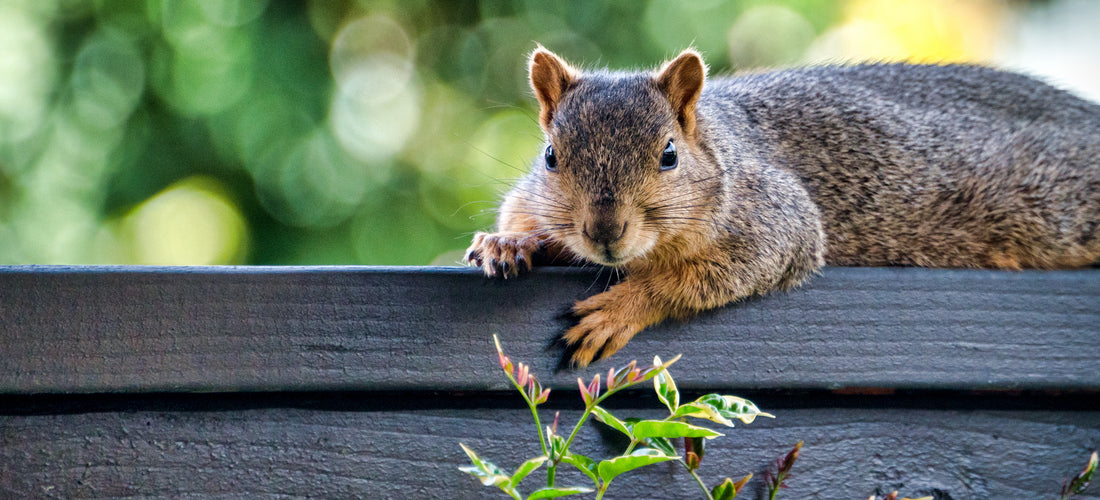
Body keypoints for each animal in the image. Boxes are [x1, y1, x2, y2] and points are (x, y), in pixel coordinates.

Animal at [462, 46, 1100, 367]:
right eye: (550, 156)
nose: (605, 231)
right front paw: (508, 242)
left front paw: (620, 308)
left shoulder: (776, 214)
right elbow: (526, 219)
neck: (717, 144)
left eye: (669, 155)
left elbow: (707, 274)